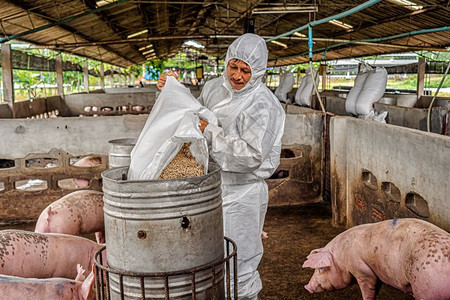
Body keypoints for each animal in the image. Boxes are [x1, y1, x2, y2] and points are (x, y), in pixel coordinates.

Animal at [302, 218, 450, 300]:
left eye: (321, 269)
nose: (307, 287)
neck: (341, 258)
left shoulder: (360, 268)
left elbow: (368, 286)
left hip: (428, 287)